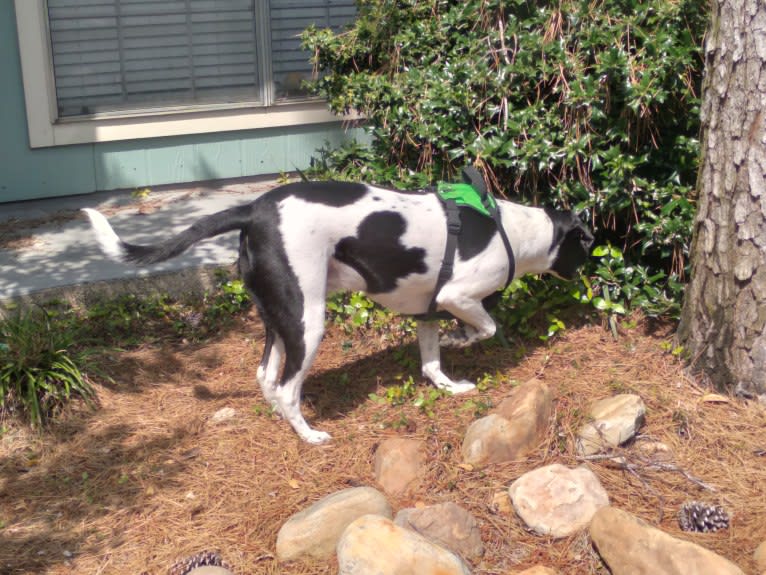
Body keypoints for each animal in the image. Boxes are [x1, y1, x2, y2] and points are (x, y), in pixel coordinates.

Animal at [82, 182, 592, 444]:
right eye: (584, 247)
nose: (592, 272)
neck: (514, 231)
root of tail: (253, 210)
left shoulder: (427, 311)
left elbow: (431, 363)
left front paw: (449, 385)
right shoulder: (457, 297)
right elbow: (487, 325)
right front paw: (460, 339)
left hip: (280, 318)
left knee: (267, 377)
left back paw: (285, 422)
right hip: (309, 319)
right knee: (288, 387)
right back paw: (309, 435)